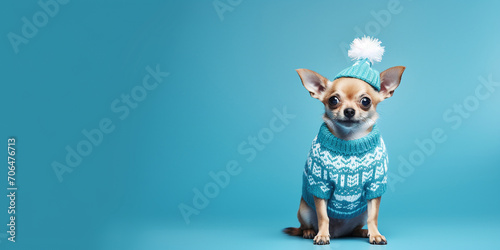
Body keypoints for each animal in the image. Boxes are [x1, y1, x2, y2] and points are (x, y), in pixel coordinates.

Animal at [284, 36, 404, 244]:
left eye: (365, 101)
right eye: (333, 100)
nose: (349, 111)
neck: (350, 141)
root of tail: (339, 233)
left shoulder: (374, 187)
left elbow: (374, 216)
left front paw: (375, 234)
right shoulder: (321, 186)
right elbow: (323, 216)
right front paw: (322, 236)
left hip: (360, 214)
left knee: (355, 228)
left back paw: (362, 232)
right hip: (304, 209)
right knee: (306, 225)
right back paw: (310, 232)